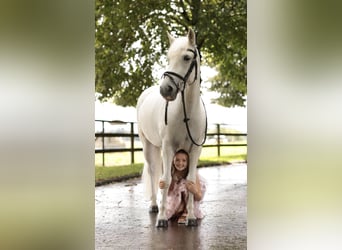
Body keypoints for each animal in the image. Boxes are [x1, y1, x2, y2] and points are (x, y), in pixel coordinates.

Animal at [138, 28, 207, 228]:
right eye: (168, 57)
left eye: (186, 57)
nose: (166, 90)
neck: (186, 112)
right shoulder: (168, 147)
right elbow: (166, 180)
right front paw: (162, 219)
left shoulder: (195, 149)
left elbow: (190, 180)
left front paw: (190, 217)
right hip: (149, 146)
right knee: (154, 172)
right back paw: (154, 206)